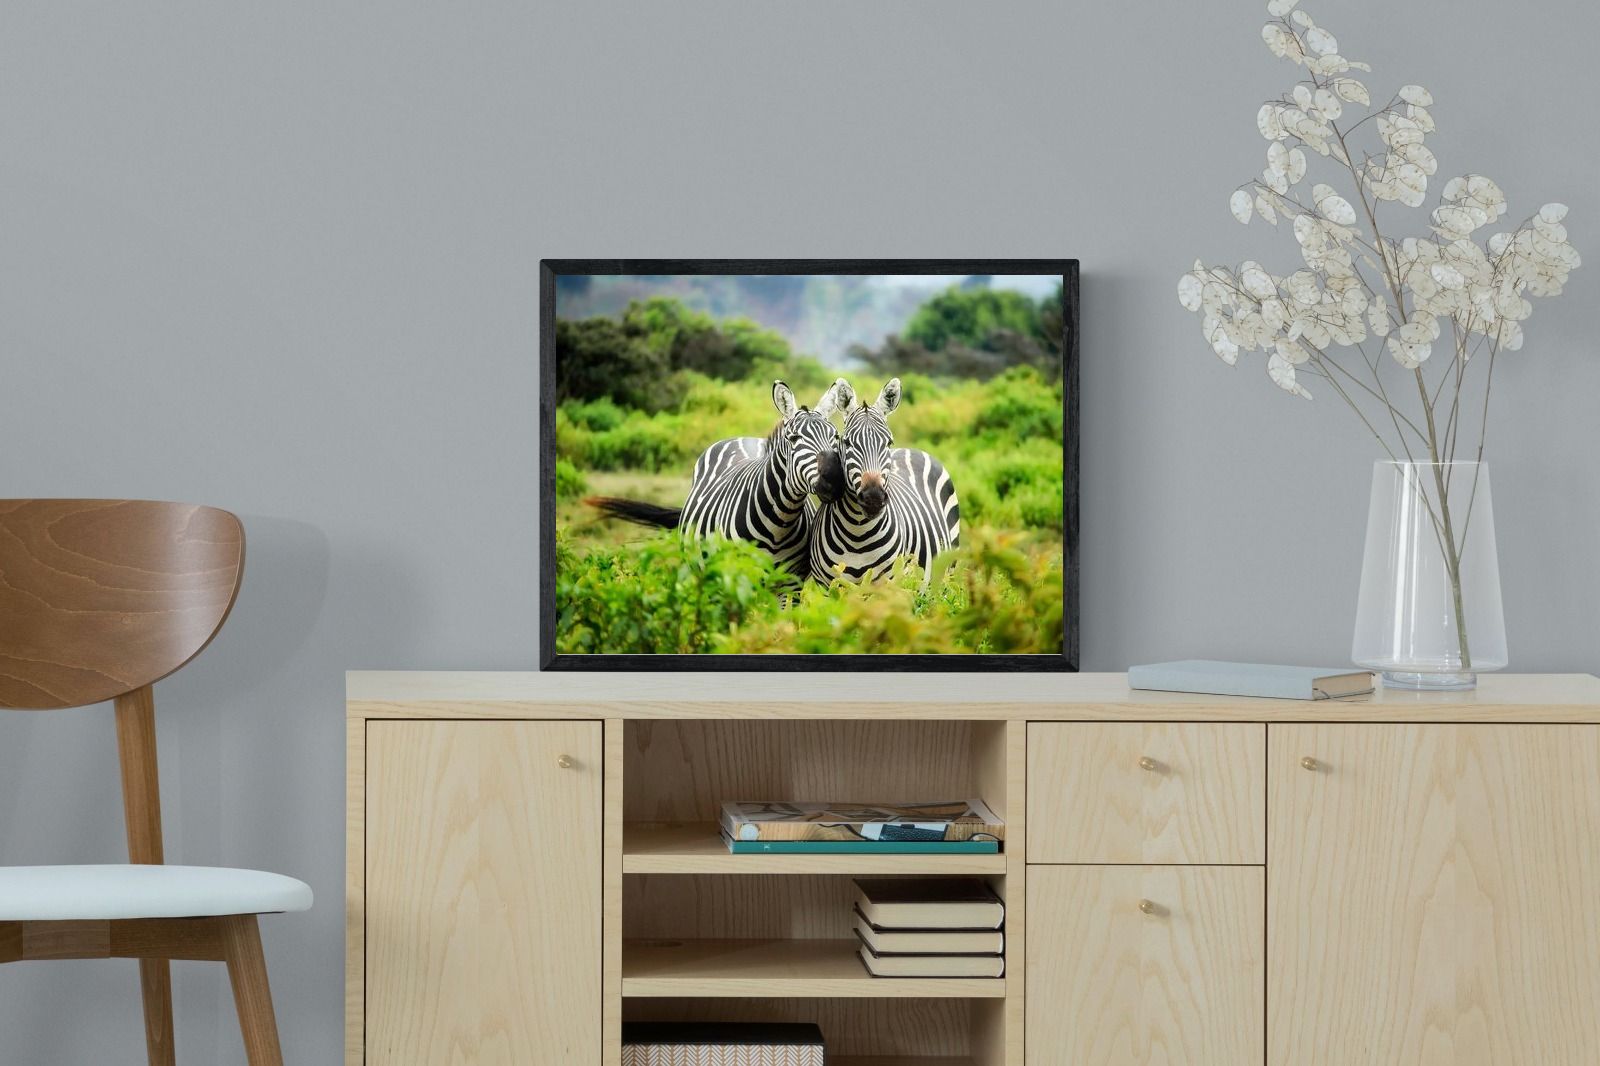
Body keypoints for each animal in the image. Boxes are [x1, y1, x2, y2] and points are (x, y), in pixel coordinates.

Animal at [586, 378, 853, 579]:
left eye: (836, 437)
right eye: (794, 439)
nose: (835, 481)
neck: (779, 523)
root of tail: (743, 438)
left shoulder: (790, 584)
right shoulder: (738, 576)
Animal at [809, 377, 961, 584]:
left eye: (889, 442)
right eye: (847, 442)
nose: (873, 498)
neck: (857, 534)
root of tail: (911, 449)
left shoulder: (888, 584)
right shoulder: (828, 585)